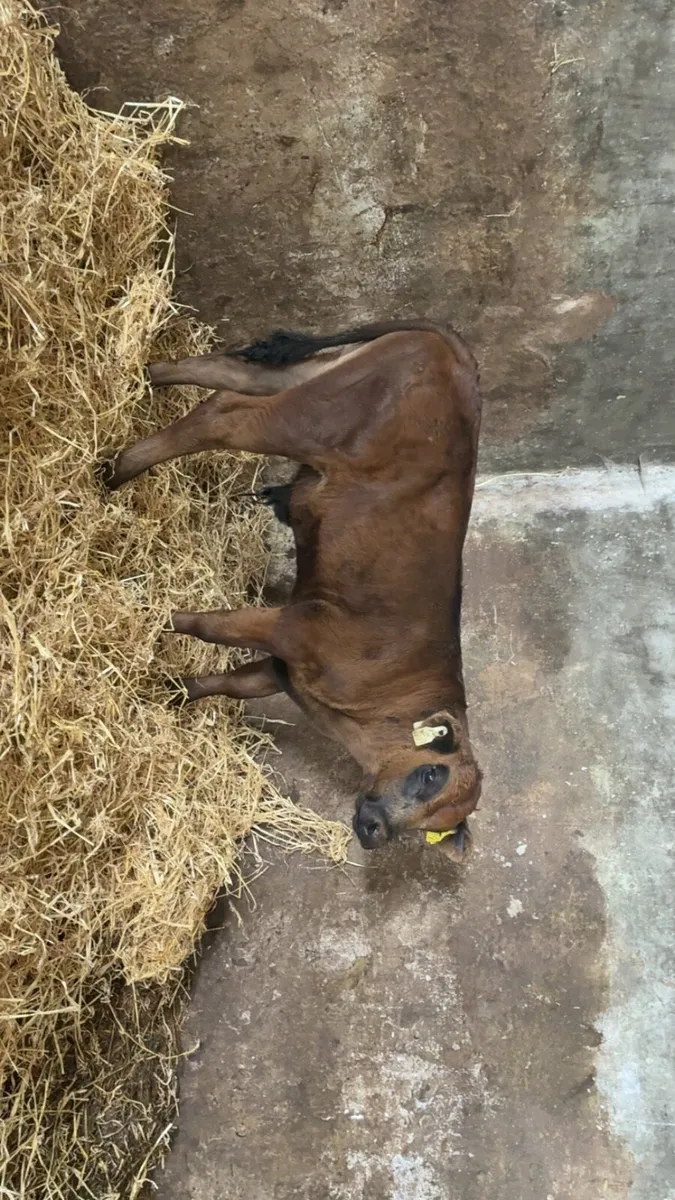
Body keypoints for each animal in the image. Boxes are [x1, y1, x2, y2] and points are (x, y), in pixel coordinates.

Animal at [101, 320, 483, 862]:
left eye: (433, 825)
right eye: (431, 774)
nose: (374, 830)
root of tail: (455, 352)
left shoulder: (283, 667)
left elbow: (230, 681)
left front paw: (174, 690)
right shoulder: (296, 627)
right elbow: (213, 625)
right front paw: (155, 619)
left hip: (319, 375)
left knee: (231, 378)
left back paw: (149, 374)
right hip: (316, 417)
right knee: (226, 416)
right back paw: (119, 469)